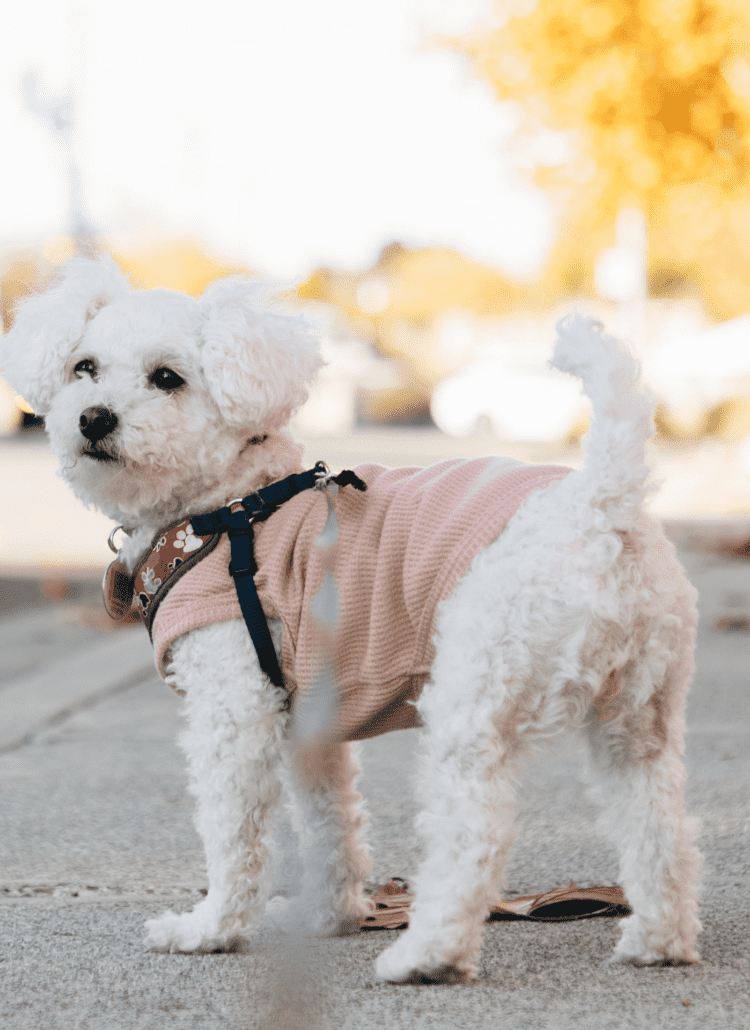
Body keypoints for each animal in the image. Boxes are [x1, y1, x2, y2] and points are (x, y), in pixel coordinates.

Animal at [2, 257, 700, 980]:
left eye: (167, 378)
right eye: (83, 367)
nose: (93, 418)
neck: (226, 512)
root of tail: (600, 505)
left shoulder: (234, 712)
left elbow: (233, 831)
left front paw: (212, 928)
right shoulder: (309, 721)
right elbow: (330, 821)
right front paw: (329, 915)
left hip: (475, 704)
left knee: (476, 836)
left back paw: (427, 954)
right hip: (636, 719)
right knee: (660, 827)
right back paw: (658, 940)